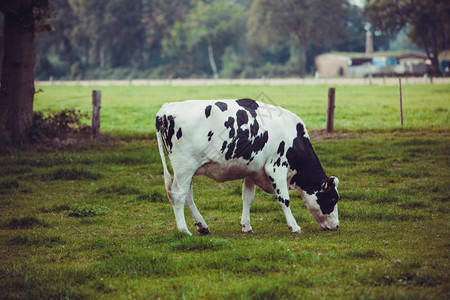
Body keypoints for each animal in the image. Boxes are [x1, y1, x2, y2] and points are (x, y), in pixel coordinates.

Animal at [156, 99, 340, 236]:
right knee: (178, 195)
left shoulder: (252, 170)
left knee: (187, 195)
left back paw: (202, 226)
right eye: (332, 199)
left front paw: (246, 226)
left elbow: (247, 198)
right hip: (184, 167)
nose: (337, 226)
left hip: (187, 171)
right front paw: (294, 226)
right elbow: (284, 199)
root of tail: (166, 108)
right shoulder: (277, 167)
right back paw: (184, 230)